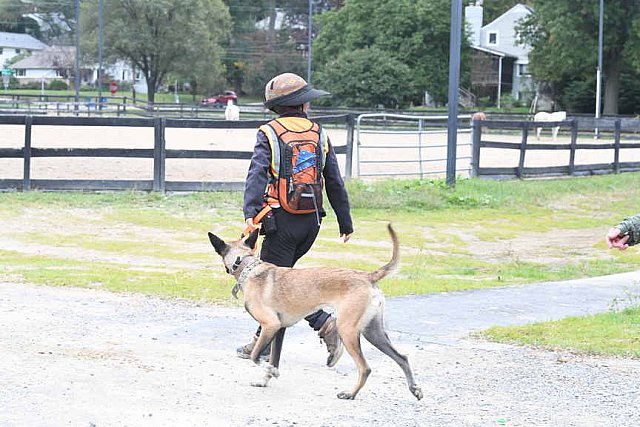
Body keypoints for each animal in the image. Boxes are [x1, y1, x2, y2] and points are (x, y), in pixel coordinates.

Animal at [208, 224, 422, 402]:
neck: (248, 267)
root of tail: (367, 277)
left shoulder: (270, 325)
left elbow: (255, 356)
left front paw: (271, 372)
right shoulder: (279, 330)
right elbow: (274, 358)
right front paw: (264, 380)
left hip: (348, 330)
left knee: (365, 368)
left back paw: (350, 393)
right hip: (373, 332)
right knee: (402, 358)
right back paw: (414, 389)